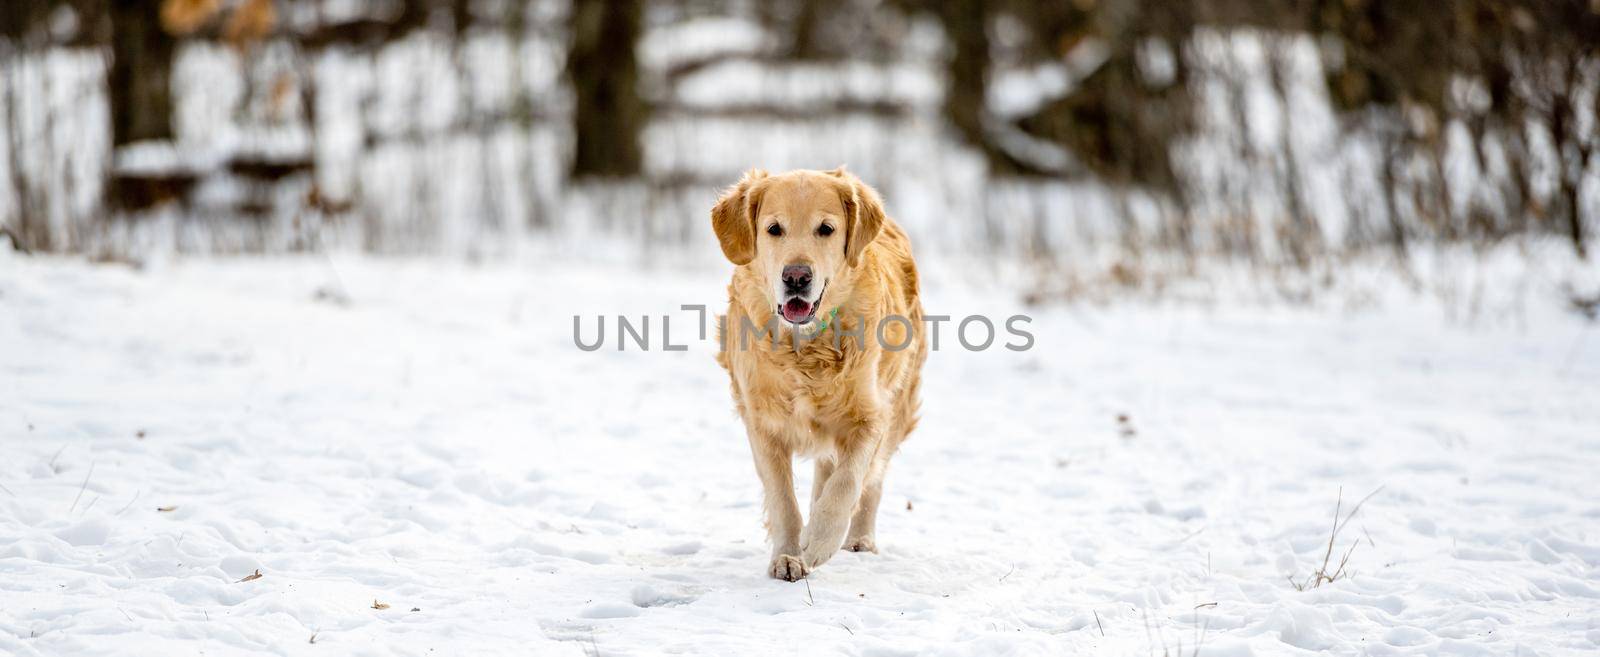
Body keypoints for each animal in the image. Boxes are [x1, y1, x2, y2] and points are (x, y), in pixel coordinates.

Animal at [713, 166, 928, 581]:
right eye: (774, 229)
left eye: (826, 229)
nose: (796, 277)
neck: (807, 348)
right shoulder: (762, 422)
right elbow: (783, 498)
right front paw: (787, 555)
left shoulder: (870, 417)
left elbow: (848, 483)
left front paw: (819, 541)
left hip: (900, 402)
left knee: (870, 481)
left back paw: (859, 540)